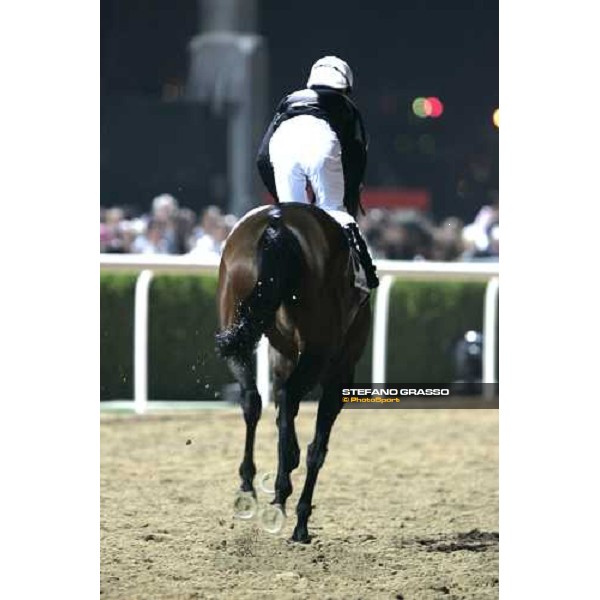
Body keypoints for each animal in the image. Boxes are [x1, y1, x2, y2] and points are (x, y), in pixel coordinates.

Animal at [211, 203, 370, 544]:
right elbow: (317, 446)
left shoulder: (281, 358)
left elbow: (280, 411)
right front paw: (299, 516)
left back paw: (249, 486)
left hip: (235, 326)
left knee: (253, 399)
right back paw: (287, 498)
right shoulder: (340, 370)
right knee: (289, 407)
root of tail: (276, 224)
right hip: (319, 350)